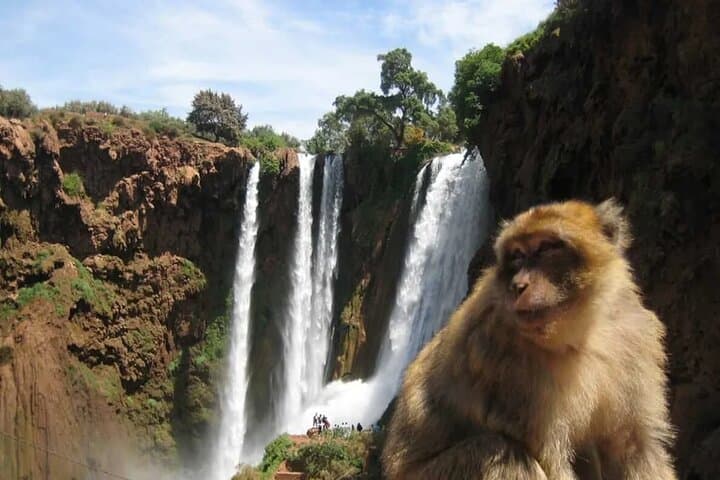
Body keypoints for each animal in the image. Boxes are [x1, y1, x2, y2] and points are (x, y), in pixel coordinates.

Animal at [382, 199, 676, 480]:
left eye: (546, 248)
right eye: (517, 255)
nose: (518, 286)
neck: (581, 333)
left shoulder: (634, 336)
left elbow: (633, 446)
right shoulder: (505, 360)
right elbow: (549, 457)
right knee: (500, 452)